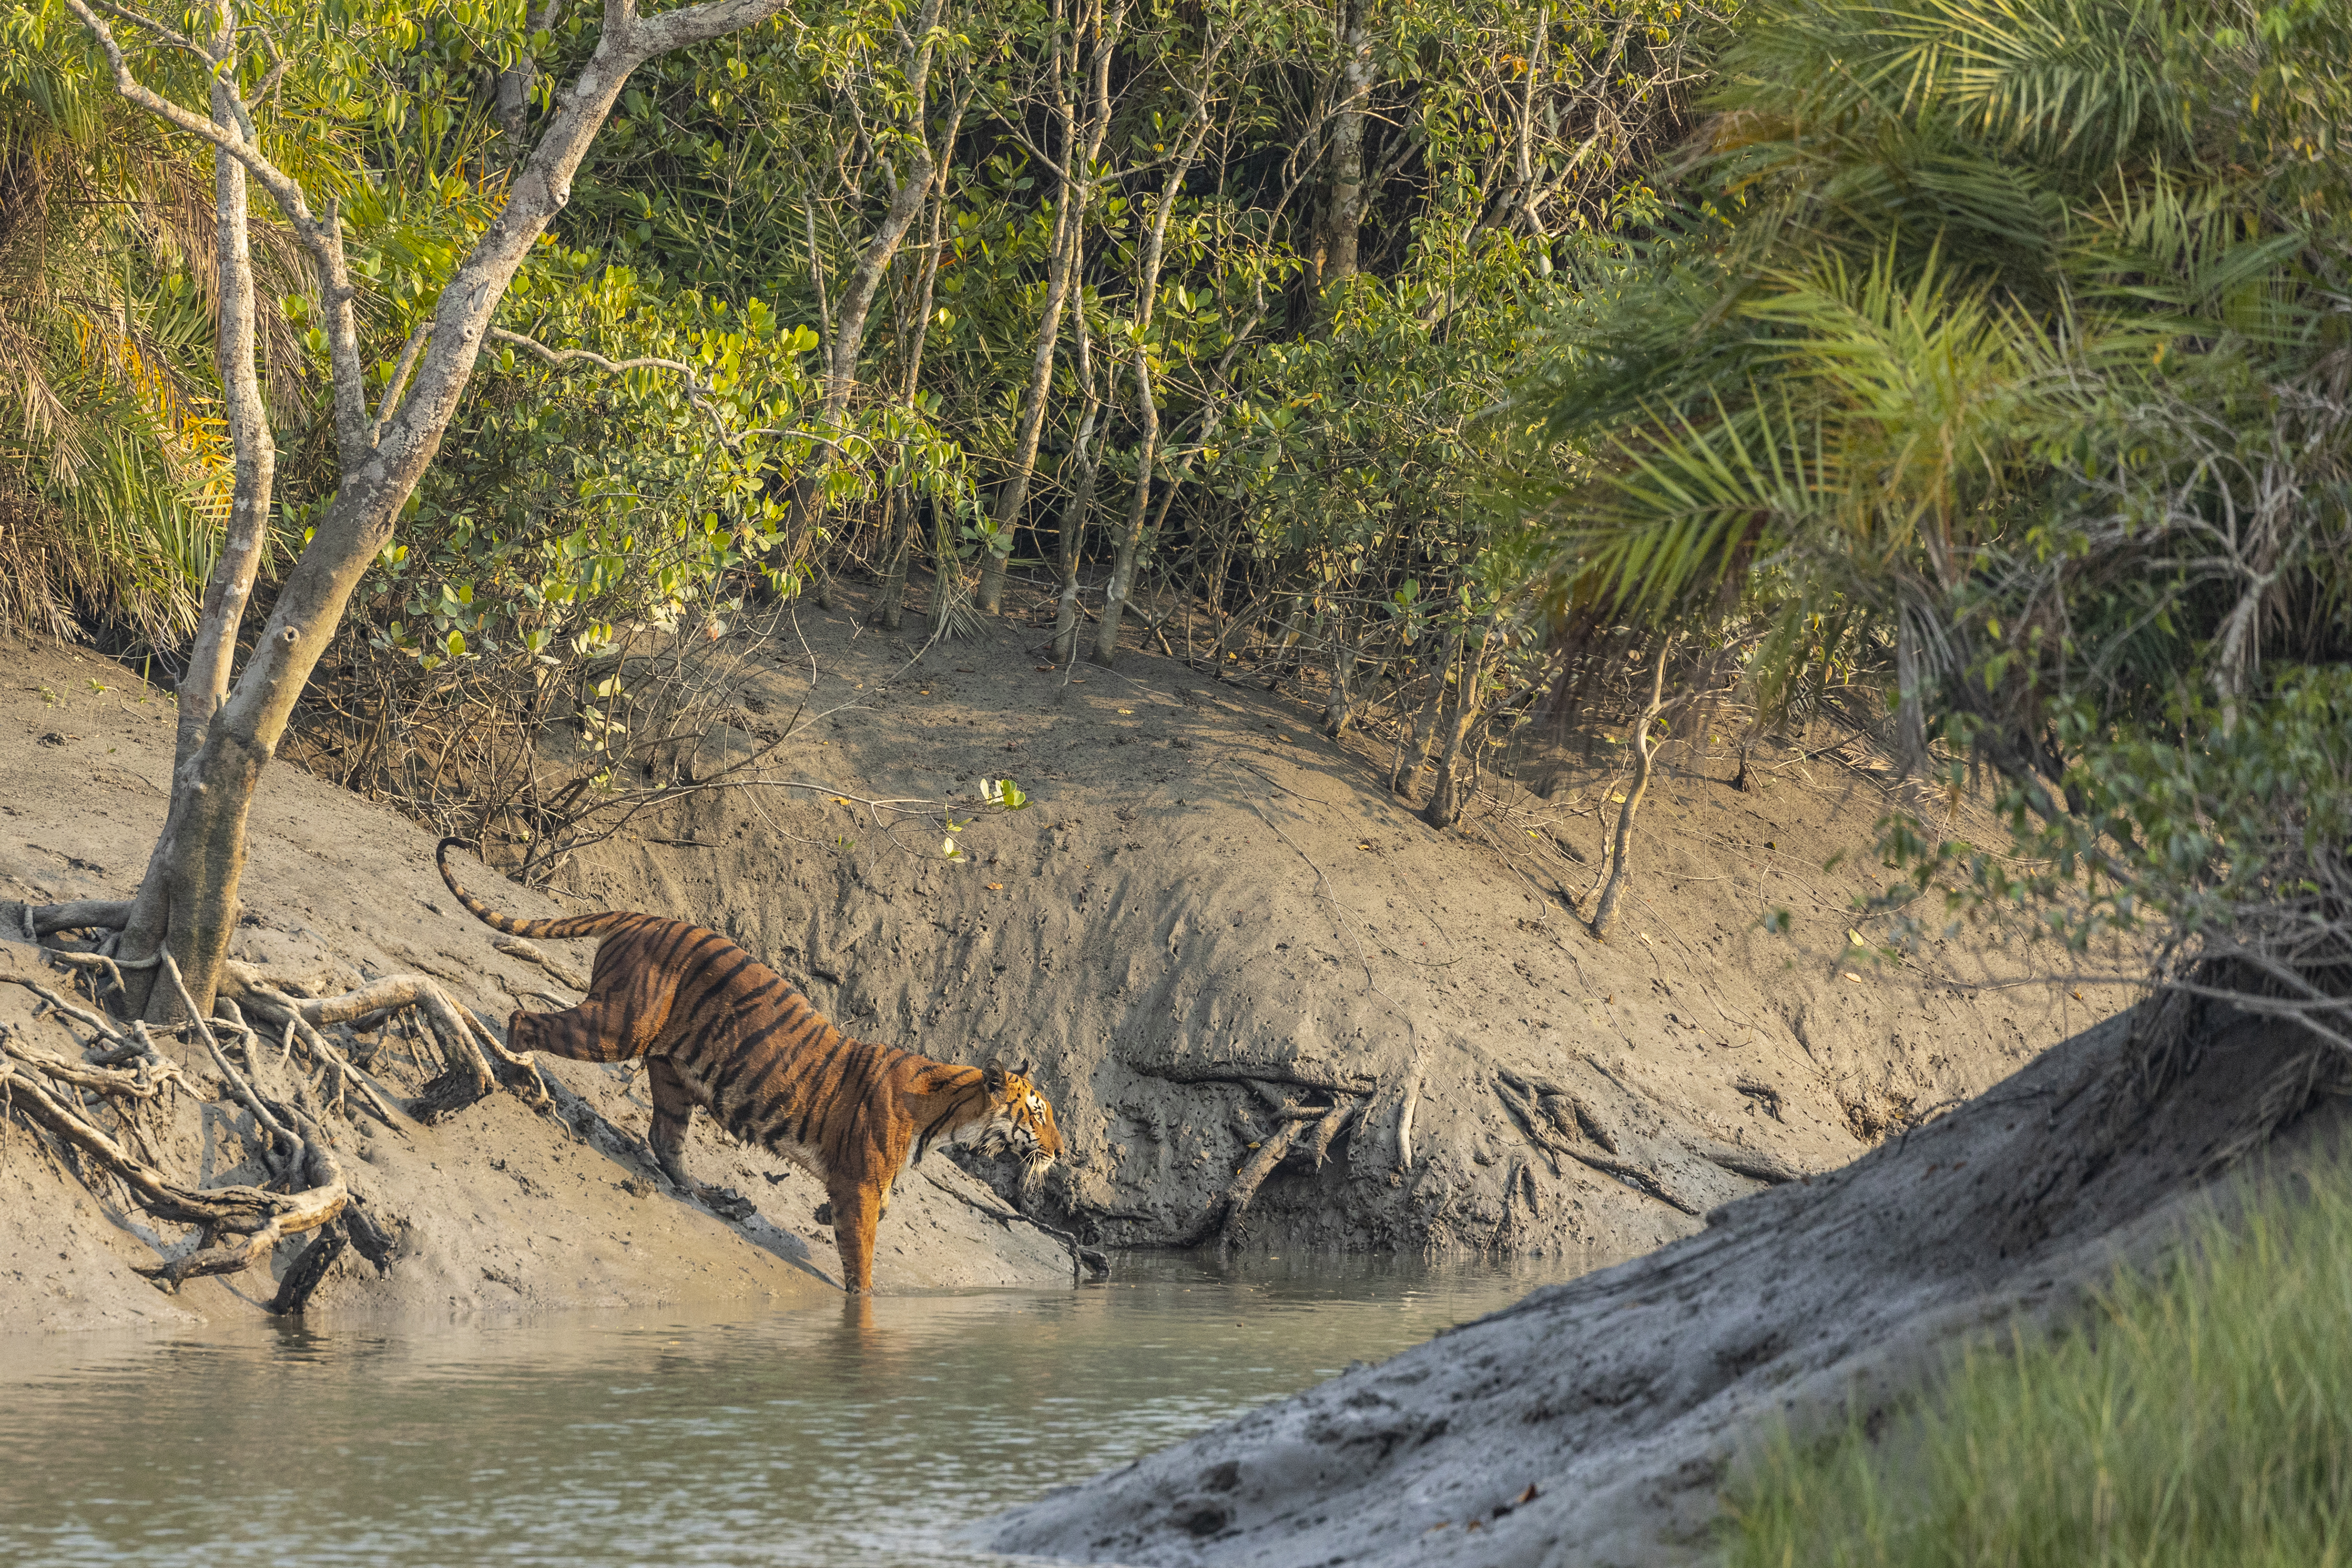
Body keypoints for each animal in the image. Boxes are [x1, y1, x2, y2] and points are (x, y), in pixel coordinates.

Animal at [433, 838, 1062, 1292]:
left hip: (673, 1072)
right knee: (523, 1019)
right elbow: (862, 1260)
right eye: (1037, 1113)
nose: (1059, 1153)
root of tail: (641, 917)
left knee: (665, 1139)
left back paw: (712, 1196)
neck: (948, 1116)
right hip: (618, 1025)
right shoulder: (860, 1184)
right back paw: (522, 1076)